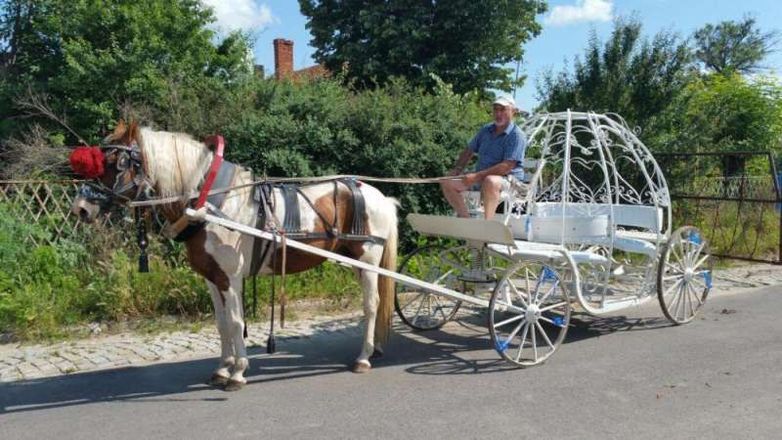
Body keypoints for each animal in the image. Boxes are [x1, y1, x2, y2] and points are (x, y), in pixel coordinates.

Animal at [69, 119, 398, 388]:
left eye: (117, 162)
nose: (80, 209)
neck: (208, 204)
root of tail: (382, 197)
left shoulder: (231, 277)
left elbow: (238, 322)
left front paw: (238, 372)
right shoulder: (211, 278)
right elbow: (222, 323)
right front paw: (222, 368)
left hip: (368, 261)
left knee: (371, 305)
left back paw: (363, 357)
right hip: (355, 261)